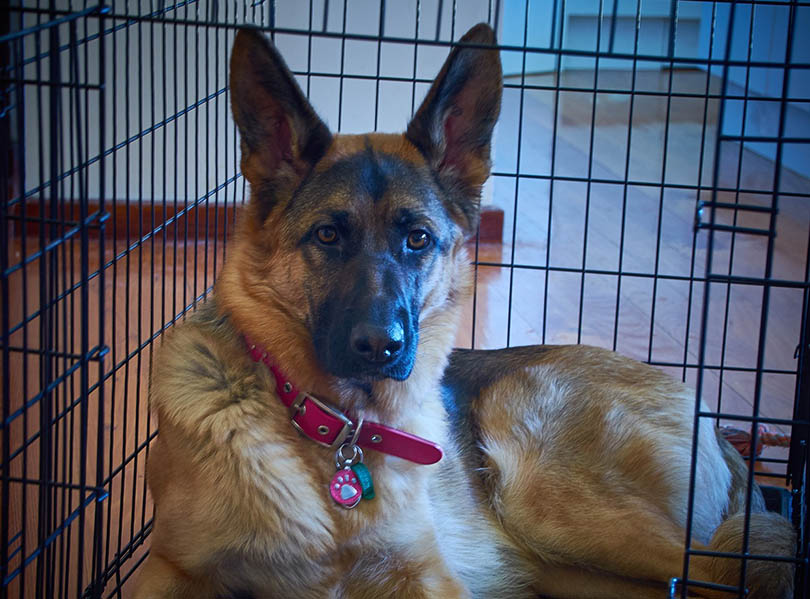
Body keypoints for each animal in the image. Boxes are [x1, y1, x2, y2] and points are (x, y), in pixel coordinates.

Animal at [136, 23, 792, 599]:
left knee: (721, 570)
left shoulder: (428, 575)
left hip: (542, 474)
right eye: (327, 236)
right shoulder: (169, 569)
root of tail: (710, 416)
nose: (381, 347)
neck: (335, 432)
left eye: (418, 239)